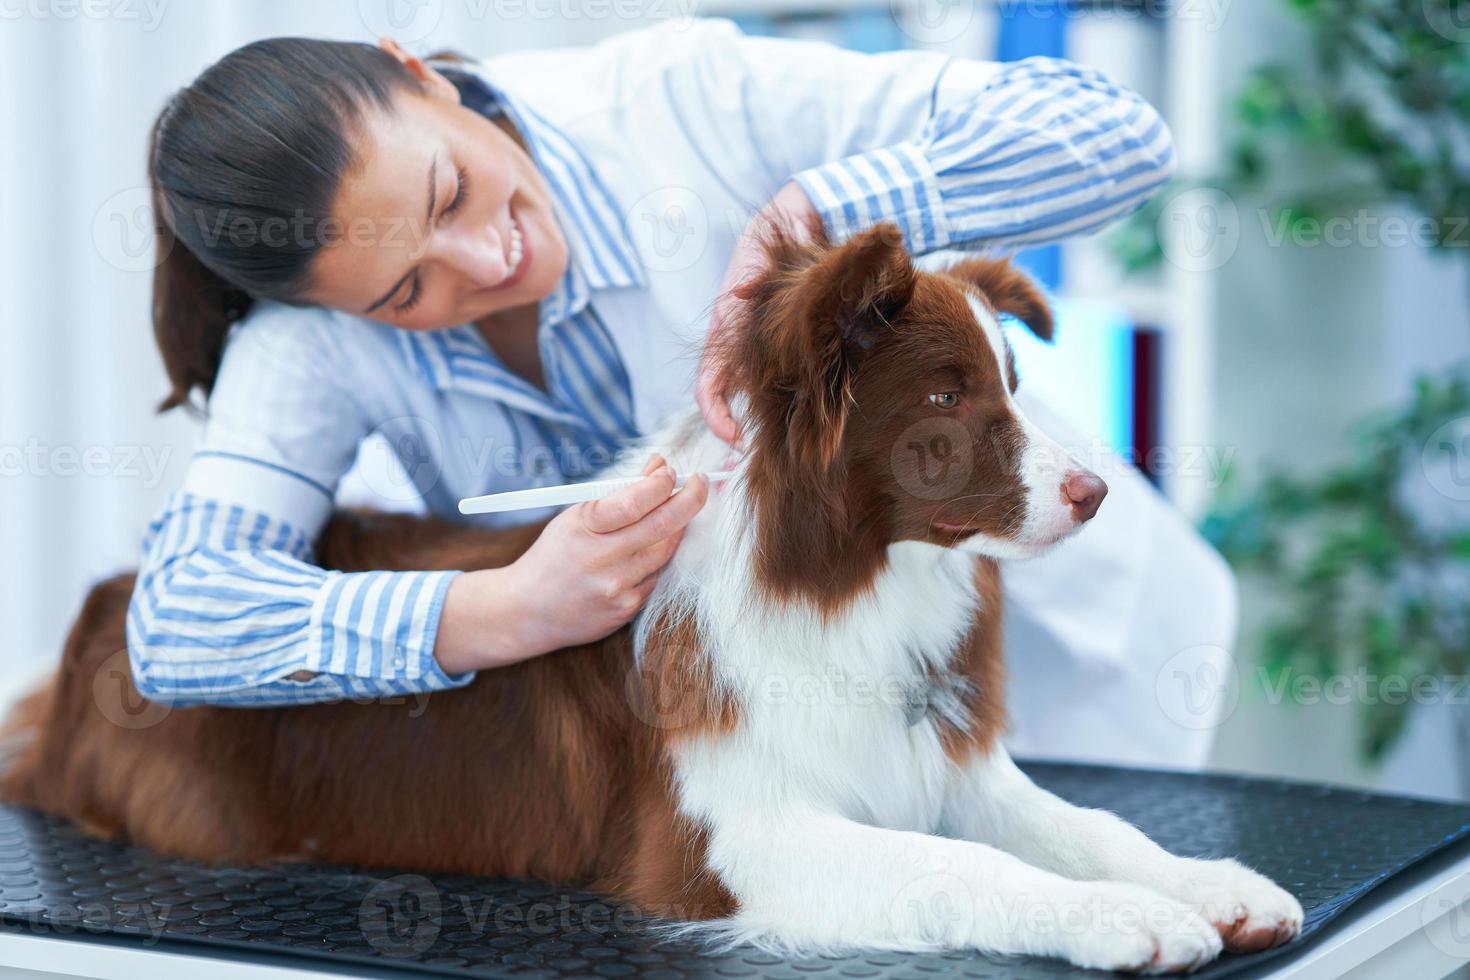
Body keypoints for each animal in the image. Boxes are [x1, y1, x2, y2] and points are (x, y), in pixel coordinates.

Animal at [5, 227, 1305, 975]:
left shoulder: (943, 762)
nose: (1096, 491)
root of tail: (109, 601)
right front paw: (1123, 917)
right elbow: (965, 869)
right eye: (947, 392)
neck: (848, 579)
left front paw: (1210, 882)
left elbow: (1094, 824)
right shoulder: (730, 841)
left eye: (1017, 380)